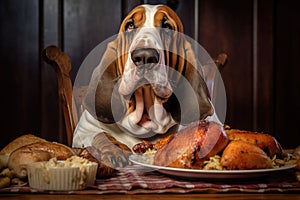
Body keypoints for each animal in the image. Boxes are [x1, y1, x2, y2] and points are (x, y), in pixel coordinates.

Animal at [72, 3, 223, 168]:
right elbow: (100, 134)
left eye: (167, 27)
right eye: (130, 25)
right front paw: (115, 151)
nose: (144, 56)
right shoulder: (83, 129)